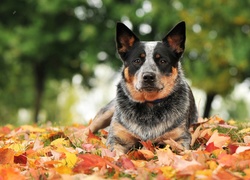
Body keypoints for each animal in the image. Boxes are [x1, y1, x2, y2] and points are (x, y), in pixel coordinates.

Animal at [87, 21, 198, 153]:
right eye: (137, 60)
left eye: (163, 61)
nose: (148, 76)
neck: (148, 105)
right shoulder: (117, 138)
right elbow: (116, 153)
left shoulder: (180, 138)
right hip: (107, 111)